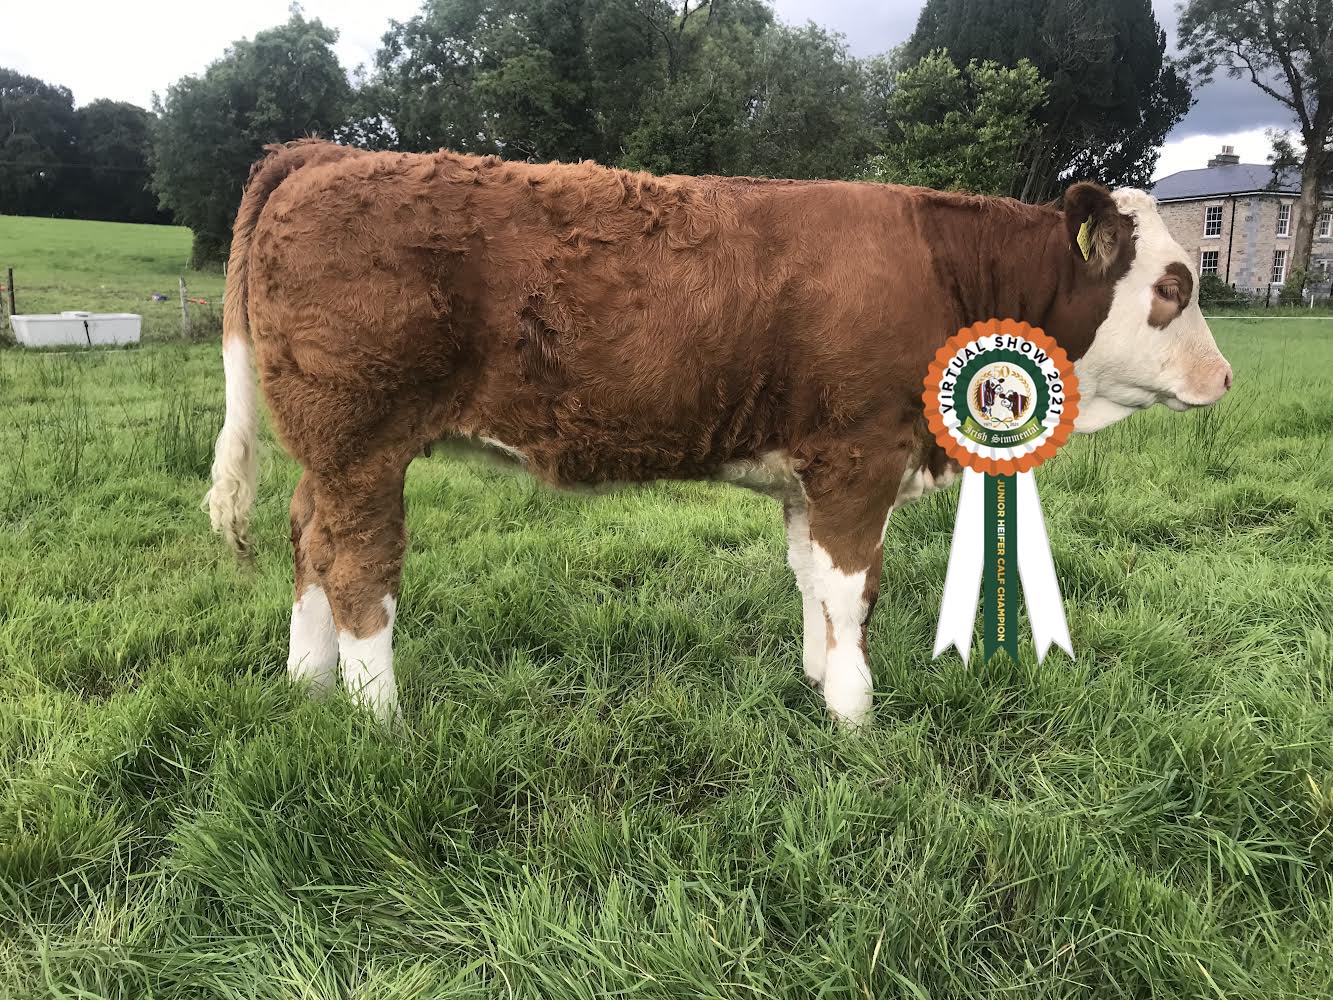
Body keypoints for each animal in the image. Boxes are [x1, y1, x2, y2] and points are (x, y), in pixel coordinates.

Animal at [204, 140, 1232, 726]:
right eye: (1171, 284)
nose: (1223, 378)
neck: (943, 271)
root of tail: (324, 151)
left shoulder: (811, 469)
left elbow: (812, 578)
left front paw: (817, 680)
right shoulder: (860, 455)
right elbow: (853, 585)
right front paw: (856, 713)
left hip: (329, 454)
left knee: (307, 540)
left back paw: (308, 685)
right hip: (363, 445)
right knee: (358, 569)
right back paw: (381, 721)